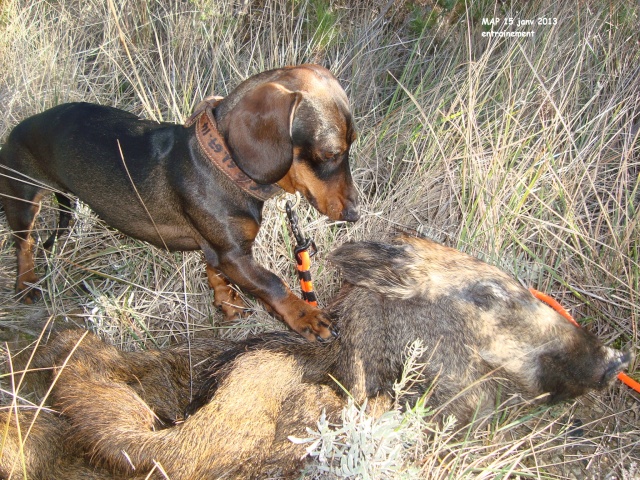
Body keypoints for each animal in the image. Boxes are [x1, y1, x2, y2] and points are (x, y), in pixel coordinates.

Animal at [0, 64, 360, 342]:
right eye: (330, 153)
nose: (355, 214)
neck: (221, 165)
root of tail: (18, 127)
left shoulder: (217, 249)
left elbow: (216, 273)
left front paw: (227, 304)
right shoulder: (234, 254)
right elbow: (273, 283)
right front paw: (306, 316)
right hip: (22, 200)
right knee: (23, 243)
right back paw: (26, 282)